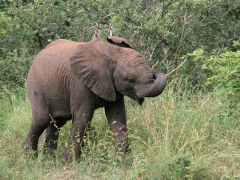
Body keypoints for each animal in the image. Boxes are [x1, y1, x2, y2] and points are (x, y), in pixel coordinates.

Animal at [23, 35, 167, 160]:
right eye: (130, 80)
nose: (154, 72)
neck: (111, 53)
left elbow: (117, 116)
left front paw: (122, 160)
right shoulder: (80, 83)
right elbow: (83, 117)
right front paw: (69, 162)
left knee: (57, 122)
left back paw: (50, 159)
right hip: (35, 84)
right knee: (42, 119)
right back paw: (29, 159)